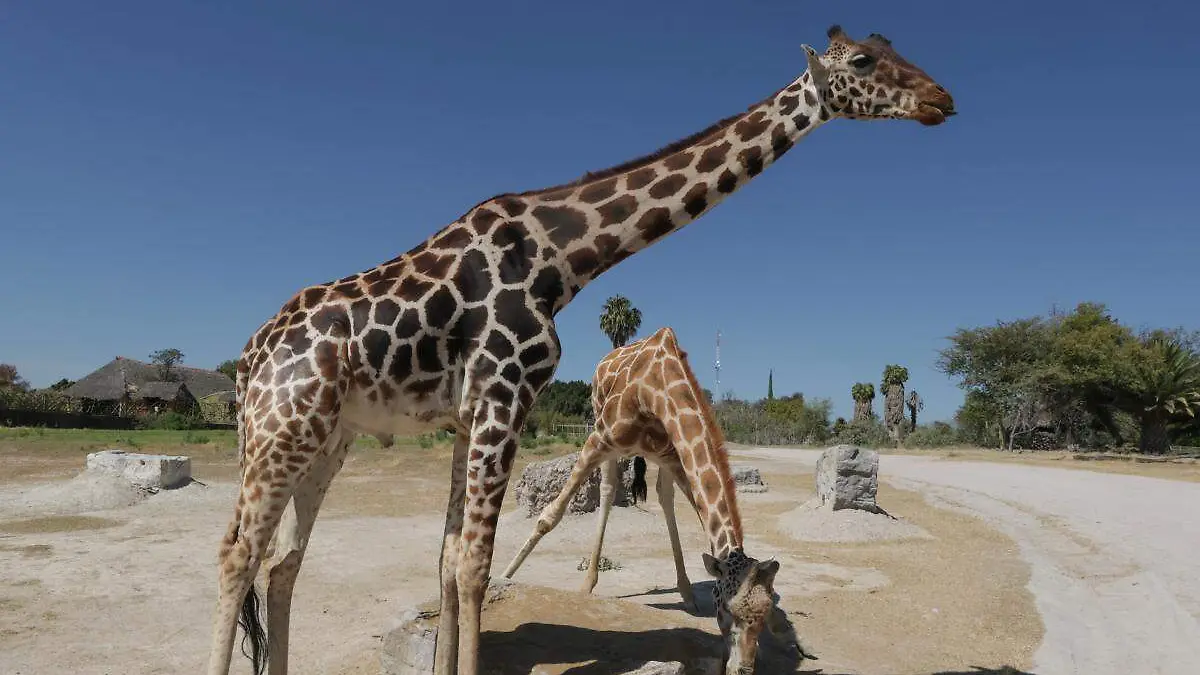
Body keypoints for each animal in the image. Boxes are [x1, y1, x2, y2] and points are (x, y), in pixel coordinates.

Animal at [502, 327, 814, 672]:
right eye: (726, 611)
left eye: (762, 613)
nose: (742, 669)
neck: (655, 392)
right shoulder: (598, 439)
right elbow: (549, 516)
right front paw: (503, 576)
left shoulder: (674, 456)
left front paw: (792, 637)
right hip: (602, 429)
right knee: (608, 489)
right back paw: (587, 583)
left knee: (664, 497)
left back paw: (686, 592)